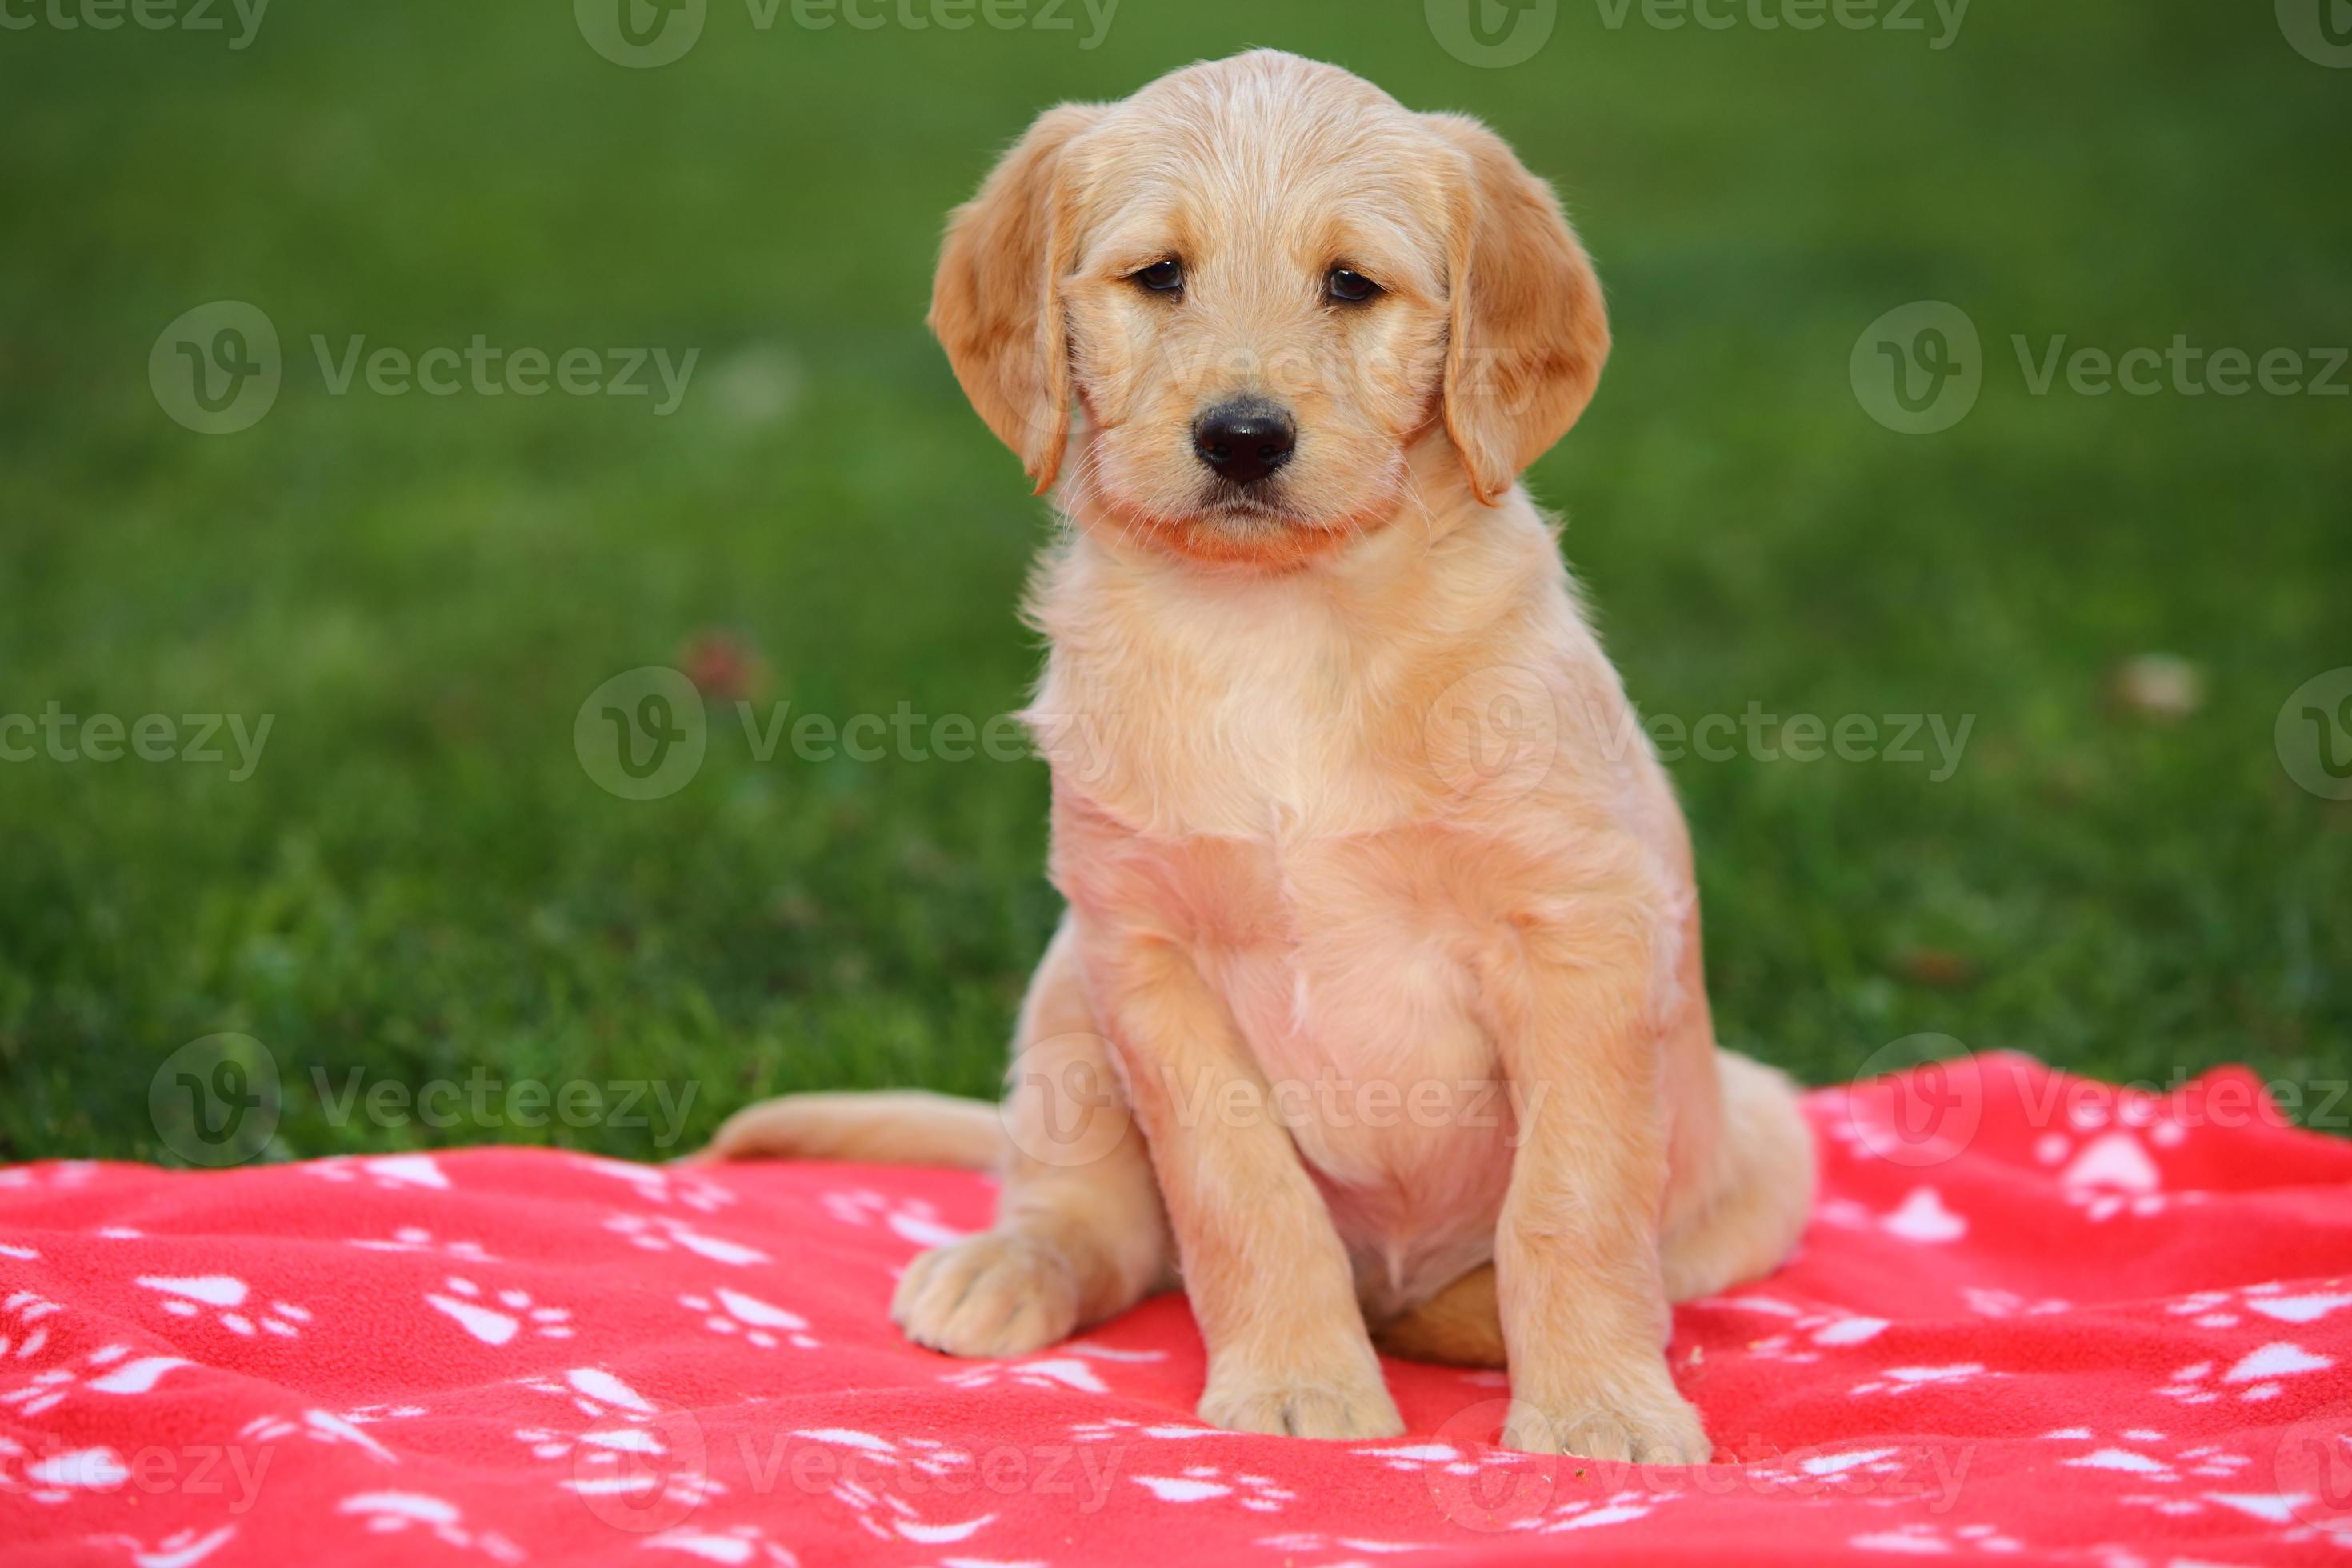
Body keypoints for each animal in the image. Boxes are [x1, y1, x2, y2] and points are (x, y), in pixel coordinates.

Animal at [686, 52, 1806, 1476]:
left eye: (1353, 285)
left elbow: (1571, 1201)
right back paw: (1007, 1265)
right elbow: (1243, 1197)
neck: (1284, 625)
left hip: (1763, 1136)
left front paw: (1599, 1411)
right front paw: (1296, 1385)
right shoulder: (1149, 954)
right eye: (1160, 275)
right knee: (1095, 1217)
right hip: (1068, 999)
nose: (1242, 439)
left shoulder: (1579, 934)